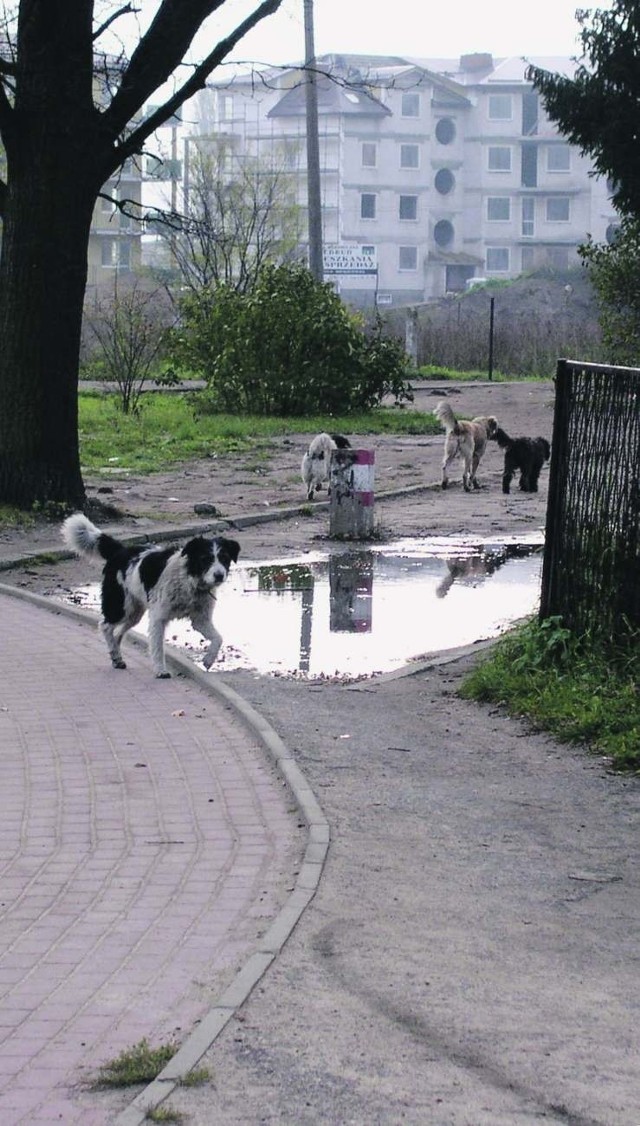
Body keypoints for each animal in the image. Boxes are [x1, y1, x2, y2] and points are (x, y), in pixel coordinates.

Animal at [62, 513, 240, 675]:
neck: (188, 579)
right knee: (105, 626)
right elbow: (158, 647)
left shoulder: (200, 619)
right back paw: (115, 654)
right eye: (205, 559)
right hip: (121, 606)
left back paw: (117, 658)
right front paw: (161, 670)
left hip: (134, 613)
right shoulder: (158, 617)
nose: (219, 575)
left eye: (225, 558)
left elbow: (218, 638)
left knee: (117, 632)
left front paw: (208, 660)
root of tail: (121, 550)